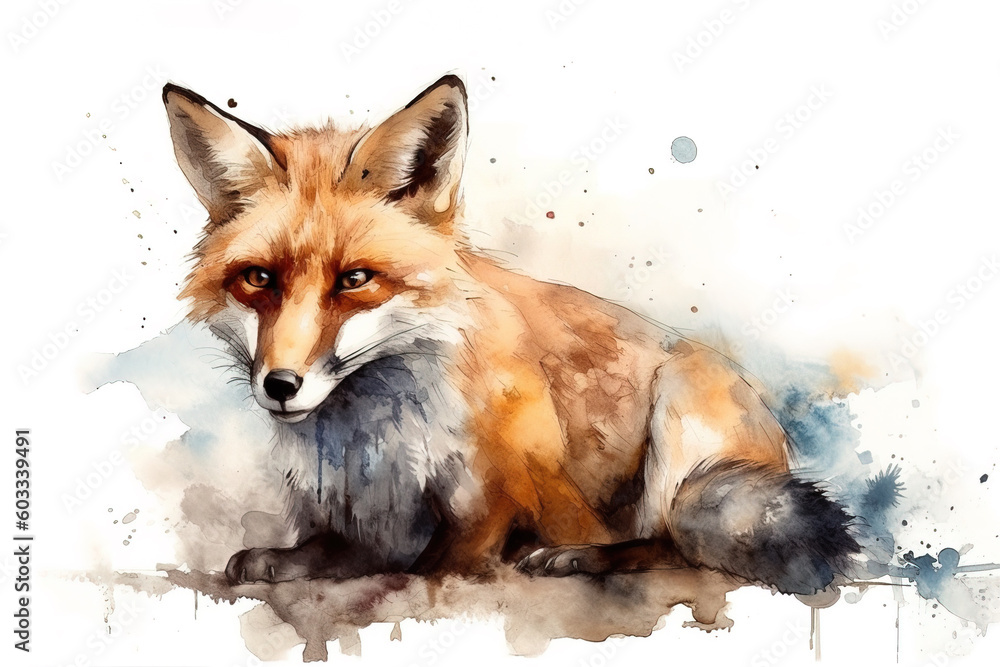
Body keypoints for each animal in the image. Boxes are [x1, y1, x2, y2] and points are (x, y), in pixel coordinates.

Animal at [162, 74, 859, 595]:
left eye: (355, 279)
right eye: (258, 278)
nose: (280, 385)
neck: (376, 434)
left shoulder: (498, 495)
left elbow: (444, 563)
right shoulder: (366, 517)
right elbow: (329, 551)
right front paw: (280, 559)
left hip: (678, 417)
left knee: (670, 544)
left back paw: (581, 559)